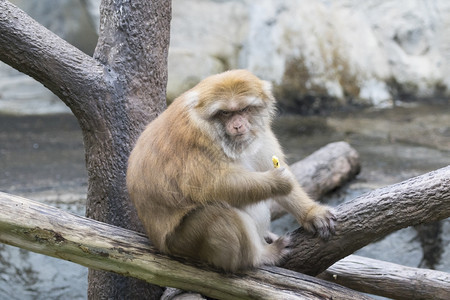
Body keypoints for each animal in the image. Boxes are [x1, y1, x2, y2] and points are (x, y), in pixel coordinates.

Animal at [125, 68, 336, 272]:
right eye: (225, 113)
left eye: (243, 109)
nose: (238, 125)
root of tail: (158, 244)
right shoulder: (195, 139)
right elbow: (213, 187)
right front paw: (278, 182)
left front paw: (312, 213)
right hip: (182, 243)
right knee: (218, 212)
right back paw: (259, 257)